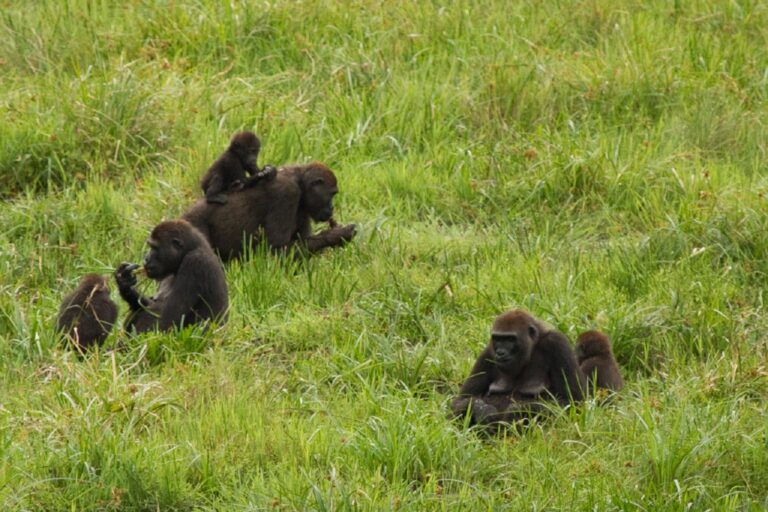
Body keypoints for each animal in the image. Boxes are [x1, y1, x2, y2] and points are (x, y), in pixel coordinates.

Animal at [183, 161, 357, 262]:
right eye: (331, 194)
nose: (332, 208)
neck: (300, 181)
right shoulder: (287, 193)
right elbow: (277, 251)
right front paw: (336, 235)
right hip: (194, 222)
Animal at [450, 309, 587, 428]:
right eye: (498, 339)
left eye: (510, 339)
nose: (500, 353)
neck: (532, 346)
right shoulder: (487, 354)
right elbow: (460, 402)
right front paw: (482, 409)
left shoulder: (558, 344)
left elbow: (572, 402)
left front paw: (518, 410)